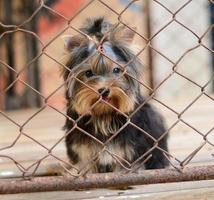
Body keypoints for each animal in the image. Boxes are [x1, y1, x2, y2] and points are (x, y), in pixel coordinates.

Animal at [61, 16, 169, 173]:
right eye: (88, 73)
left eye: (117, 70)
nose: (104, 90)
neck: (104, 115)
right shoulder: (83, 151)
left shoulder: (128, 151)